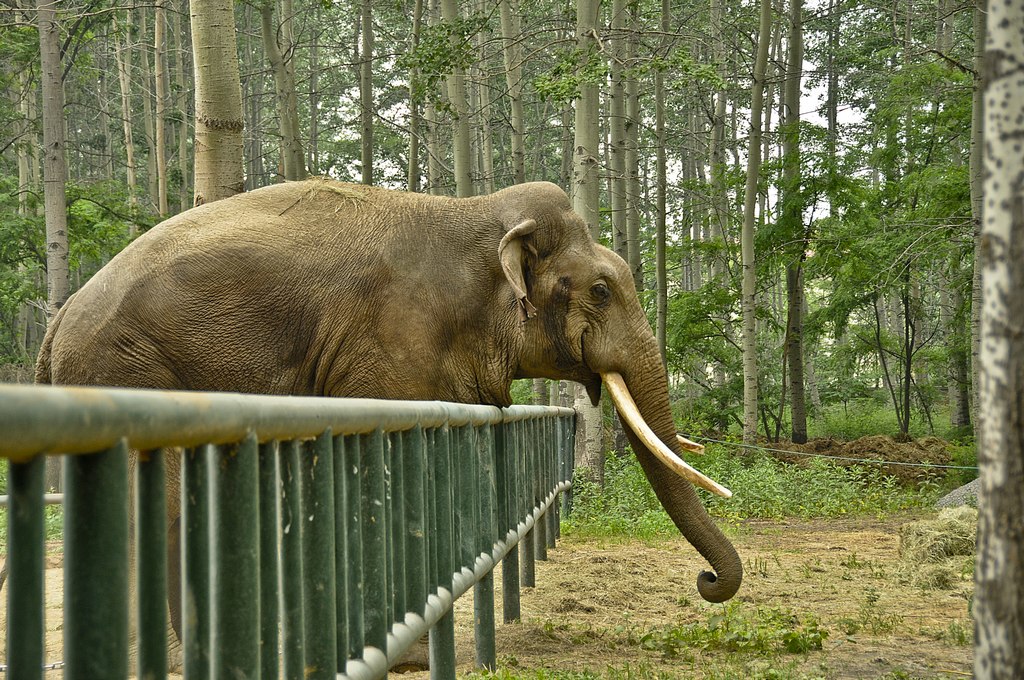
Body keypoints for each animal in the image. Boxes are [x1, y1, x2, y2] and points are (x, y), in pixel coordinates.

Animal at [36, 178, 741, 667]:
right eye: (600, 290)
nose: (707, 581)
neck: (477, 213)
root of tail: (57, 321)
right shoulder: (393, 346)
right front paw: (407, 657)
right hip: (128, 373)